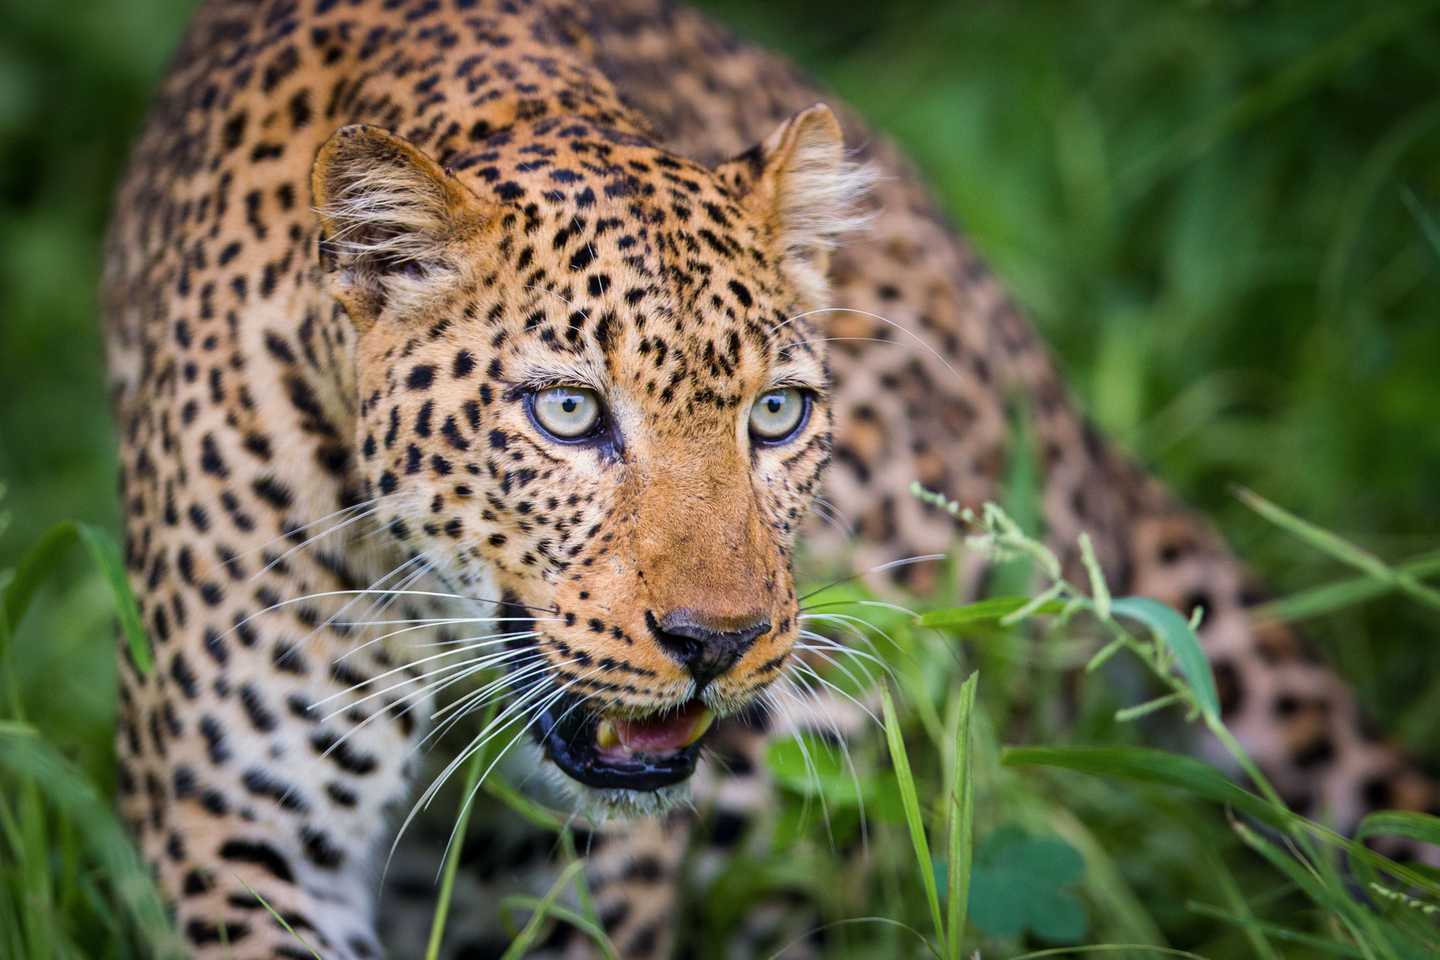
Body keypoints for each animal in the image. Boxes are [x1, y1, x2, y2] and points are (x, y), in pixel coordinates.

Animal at [101, 0, 1439, 956]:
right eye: (568, 413)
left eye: (777, 414)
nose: (717, 642)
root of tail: (1063, 410)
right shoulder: (236, 826)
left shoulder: (591, 876)